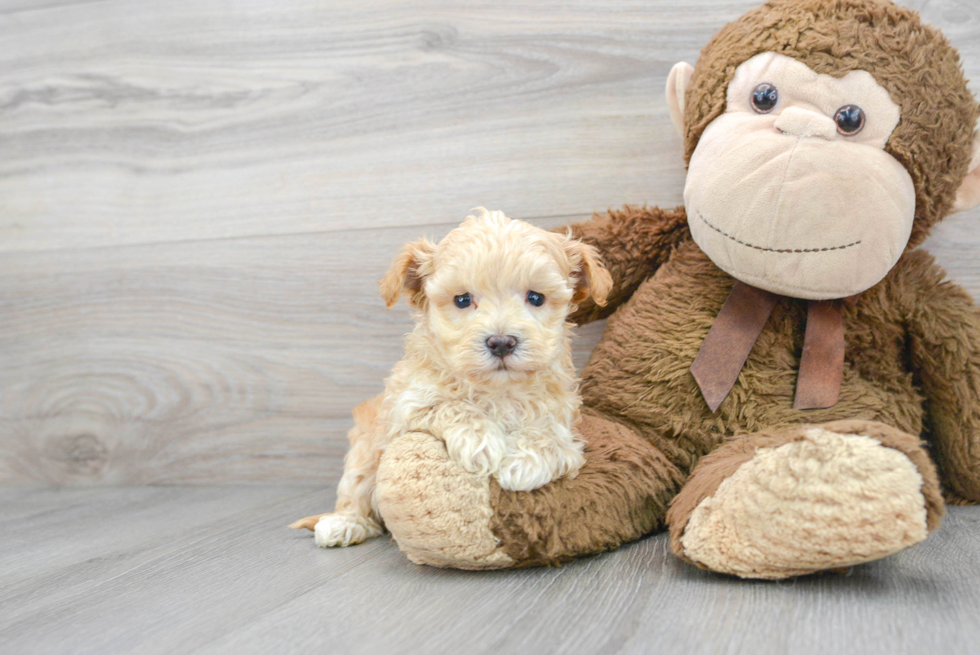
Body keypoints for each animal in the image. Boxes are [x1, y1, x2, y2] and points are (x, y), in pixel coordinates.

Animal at [290, 209, 608, 548]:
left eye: (536, 297)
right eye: (462, 300)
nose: (501, 342)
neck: (497, 390)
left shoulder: (564, 421)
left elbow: (550, 435)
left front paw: (525, 461)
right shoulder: (406, 405)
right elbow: (451, 405)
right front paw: (480, 441)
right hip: (364, 448)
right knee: (356, 489)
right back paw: (344, 523)